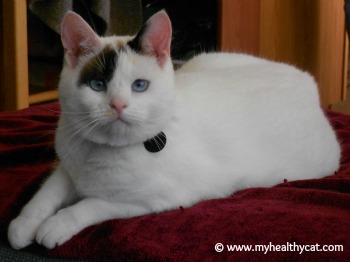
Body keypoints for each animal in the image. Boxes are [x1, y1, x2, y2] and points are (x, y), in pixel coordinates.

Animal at [8, 10, 340, 250]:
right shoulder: (68, 169)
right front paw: (24, 223)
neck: (103, 152)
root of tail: (306, 80)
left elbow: (92, 204)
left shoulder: (155, 200)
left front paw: (57, 223)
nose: (117, 104)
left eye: (139, 86)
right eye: (97, 85)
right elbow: (46, 193)